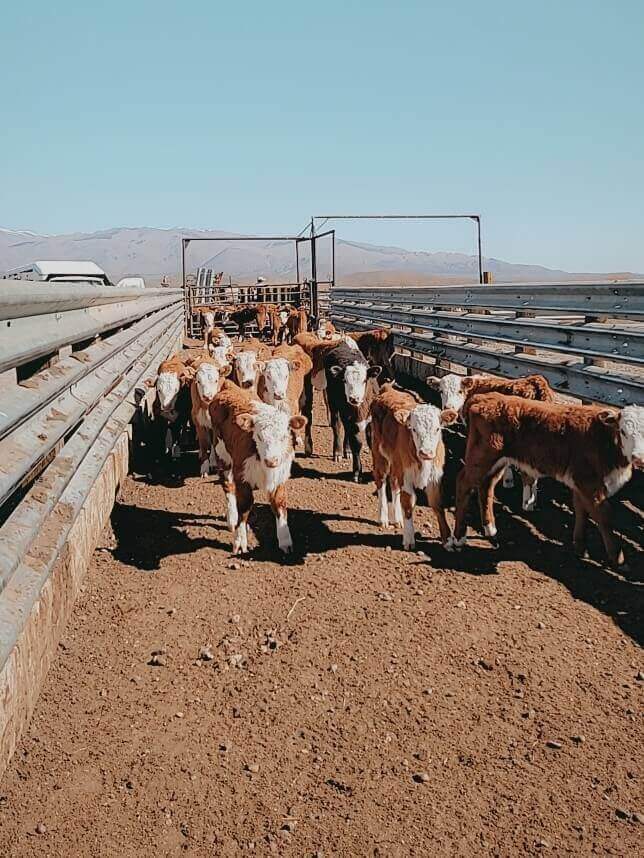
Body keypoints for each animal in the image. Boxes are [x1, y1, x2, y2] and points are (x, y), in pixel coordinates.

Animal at [208, 382, 306, 556]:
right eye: (259, 436)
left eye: (283, 437)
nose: (271, 460)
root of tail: (229, 386)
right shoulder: (242, 477)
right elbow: (244, 506)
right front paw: (240, 541)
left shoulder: (279, 477)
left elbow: (279, 504)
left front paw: (285, 541)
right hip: (222, 455)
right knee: (228, 487)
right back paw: (232, 518)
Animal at [324, 340, 380, 478]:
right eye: (344, 380)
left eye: (365, 380)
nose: (354, 398)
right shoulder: (348, 417)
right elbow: (357, 443)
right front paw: (357, 471)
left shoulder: (371, 419)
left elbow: (371, 442)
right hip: (333, 404)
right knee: (337, 425)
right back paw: (338, 452)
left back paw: (347, 451)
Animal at [368, 382, 458, 548]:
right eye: (414, 429)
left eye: (437, 429)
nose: (426, 452)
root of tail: (387, 390)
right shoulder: (407, 476)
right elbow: (408, 504)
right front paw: (409, 539)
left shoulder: (435, 477)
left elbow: (437, 505)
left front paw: (448, 539)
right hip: (379, 454)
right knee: (381, 481)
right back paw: (383, 518)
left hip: (396, 463)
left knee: (393, 482)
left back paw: (397, 519)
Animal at [428, 370, 552, 508]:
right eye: (441, 391)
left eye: (459, 391)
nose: (448, 407)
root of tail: (535, 382)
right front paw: (508, 480)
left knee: (527, 475)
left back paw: (527, 504)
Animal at [452, 394, 644, 568]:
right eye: (623, 431)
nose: (639, 458)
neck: (603, 439)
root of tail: (482, 398)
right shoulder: (589, 483)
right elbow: (604, 516)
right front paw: (617, 558)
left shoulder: (579, 483)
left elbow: (581, 510)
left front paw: (579, 548)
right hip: (481, 458)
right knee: (462, 485)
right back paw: (458, 538)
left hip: (498, 462)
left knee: (486, 486)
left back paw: (490, 528)